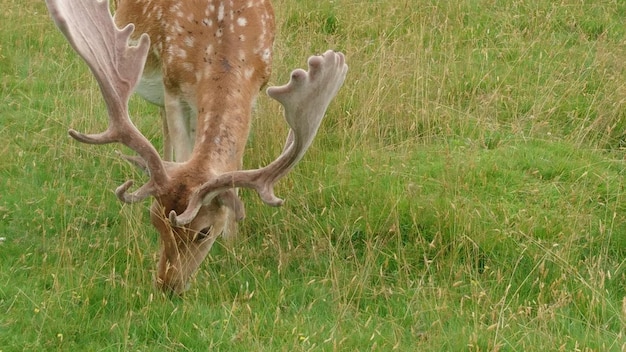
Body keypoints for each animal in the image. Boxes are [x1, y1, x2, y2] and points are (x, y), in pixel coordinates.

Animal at [45, 0, 346, 294]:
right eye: (155, 220)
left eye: (204, 231)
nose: (167, 285)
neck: (222, 43)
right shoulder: (172, 86)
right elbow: (183, 150)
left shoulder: (256, 88)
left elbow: (233, 166)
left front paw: (231, 241)